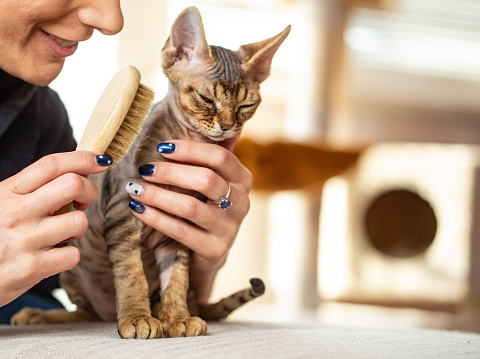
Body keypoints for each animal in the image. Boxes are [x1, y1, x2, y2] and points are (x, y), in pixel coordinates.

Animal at [11, 7, 288, 340]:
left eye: (246, 105)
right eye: (207, 99)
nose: (227, 125)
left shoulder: (177, 231)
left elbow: (177, 278)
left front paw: (178, 317)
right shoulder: (122, 212)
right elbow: (132, 274)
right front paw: (137, 317)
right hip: (73, 271)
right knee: (84, 313)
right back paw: (41, 315)